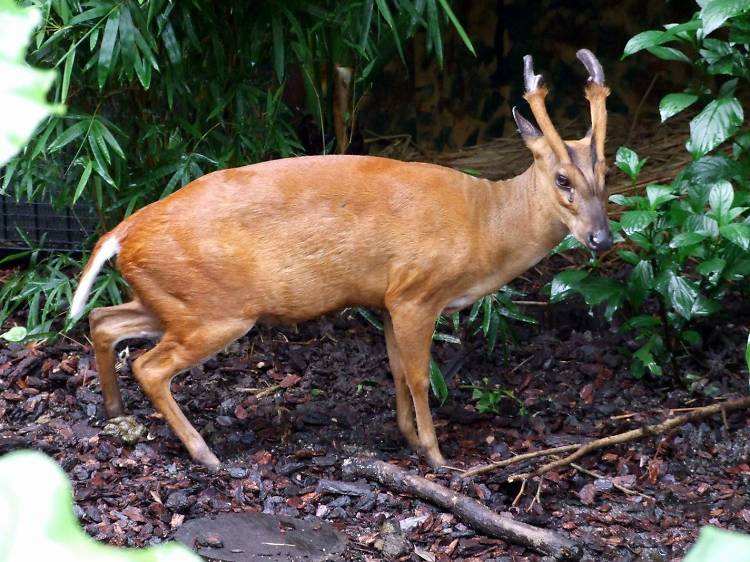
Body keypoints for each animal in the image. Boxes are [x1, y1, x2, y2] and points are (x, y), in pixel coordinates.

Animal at [69, 49, 612, 468]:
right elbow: (419, 376)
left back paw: (116, 413)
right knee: (149, 365)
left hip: (174, 299)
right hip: (215, 309)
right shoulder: (418, 291)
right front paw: (437, 456)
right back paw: (205, 453)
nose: (602, 238)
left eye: (606, 172)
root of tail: (123, 232)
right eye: (562, 179)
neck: (485, 224)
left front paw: (409, 438)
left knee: (103, 320)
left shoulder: (388, 299)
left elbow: (396, 370)